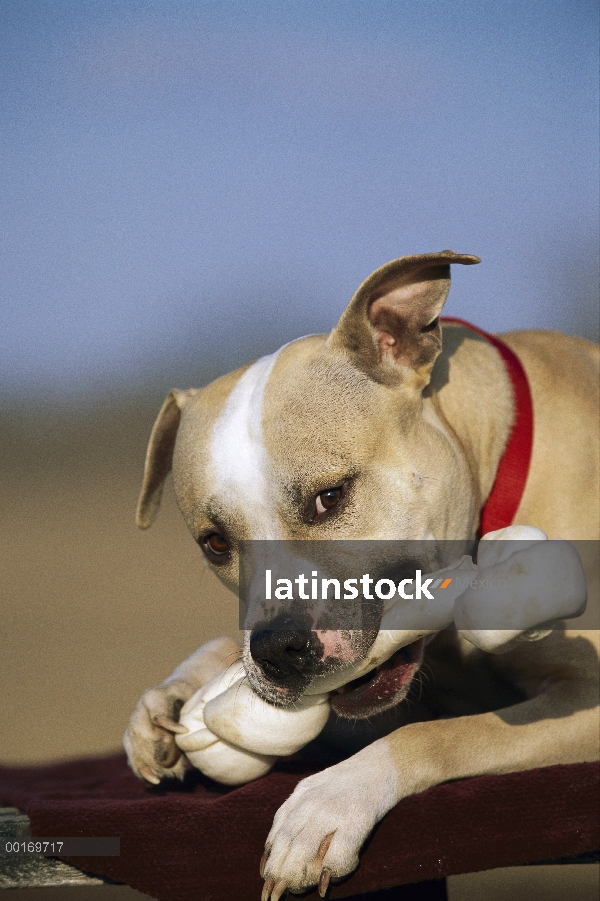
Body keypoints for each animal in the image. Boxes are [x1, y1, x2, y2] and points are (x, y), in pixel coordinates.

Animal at [124, 250, 596, 896]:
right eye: (215, 543)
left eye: (330, 497)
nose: (278, 651)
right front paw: (171, 695)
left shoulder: (587, 700)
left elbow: (449, 733)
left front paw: (328, 804)